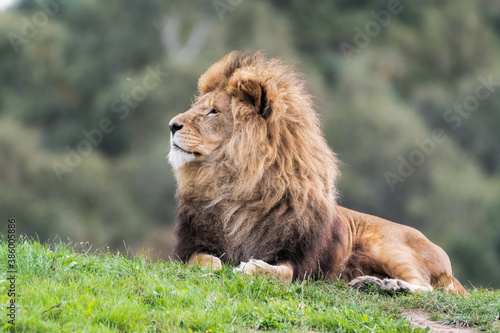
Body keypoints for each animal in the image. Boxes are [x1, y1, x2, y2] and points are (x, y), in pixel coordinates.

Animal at [168, 50, 468, 294]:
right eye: (198, 108)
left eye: (213, 112)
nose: (171, 125)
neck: (236, 184)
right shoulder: (191, 247)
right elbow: (206, 261)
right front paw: (215, 268)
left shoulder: (300, 260)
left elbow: (282, 273)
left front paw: (252, 267)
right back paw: (369, 283)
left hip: (389, 247)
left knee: (427, 287)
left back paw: (392, 286)